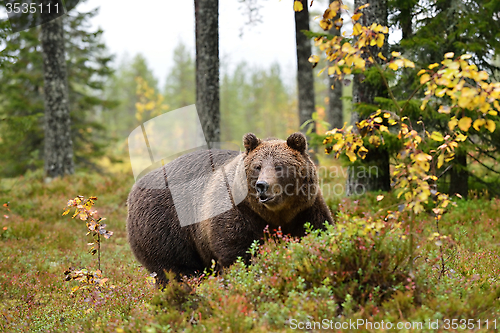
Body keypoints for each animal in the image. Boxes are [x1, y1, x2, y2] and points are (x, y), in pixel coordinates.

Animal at [127, 131, 334, 284]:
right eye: (258, 166)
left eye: (279, 166)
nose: (262, 185)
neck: (275, 214)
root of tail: (133, 190)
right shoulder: (237, 213)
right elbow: (236, 253)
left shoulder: (305, 211)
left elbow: (317, 231)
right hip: (165, 225)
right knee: (174, 268)